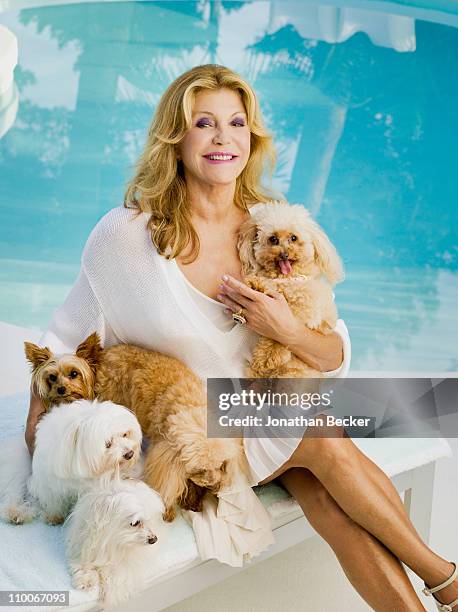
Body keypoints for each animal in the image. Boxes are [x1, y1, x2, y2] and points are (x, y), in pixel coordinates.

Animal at [0, 400, 143, 524]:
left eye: (125, 434)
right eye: (107, 444)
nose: (130, 454)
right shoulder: (47, 482)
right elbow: (53, 499)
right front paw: (54, 515)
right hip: (18, 469)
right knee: (12, 494)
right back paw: (15, 512)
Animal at [66, 476, 168, 604]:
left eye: (149, 519)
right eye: (135, 523)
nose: (154, 539)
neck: (114, 542)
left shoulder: (129, 561)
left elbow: (117, 572)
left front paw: (109, 591)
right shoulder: (84, 547)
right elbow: (84, 564)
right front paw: (86, 580)